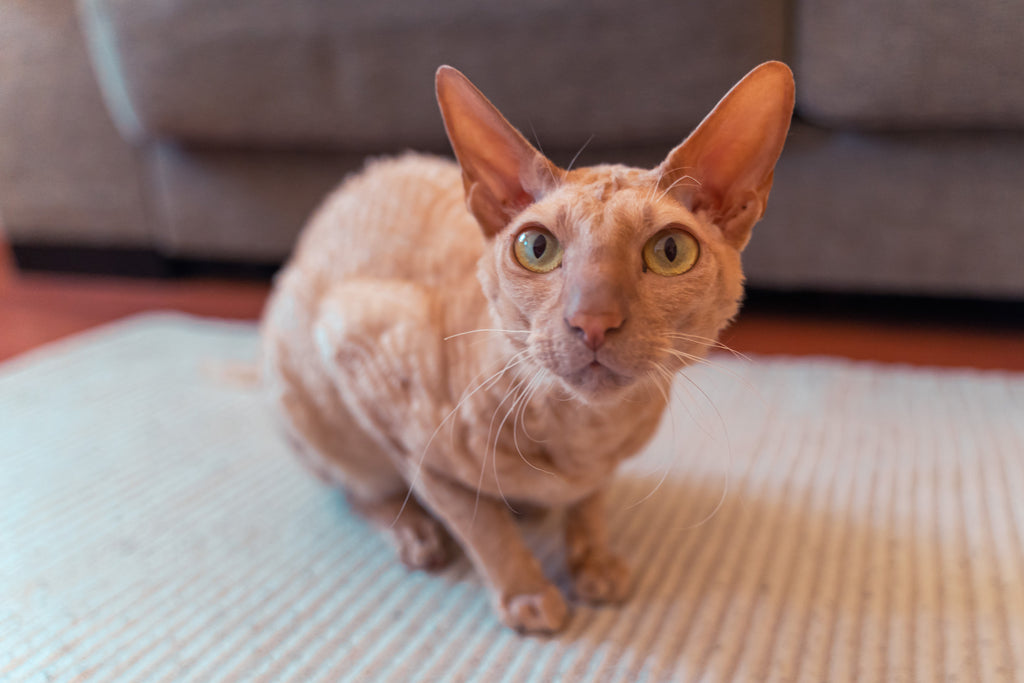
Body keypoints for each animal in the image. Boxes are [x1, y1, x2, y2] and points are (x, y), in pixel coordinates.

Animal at [260, 61, 794, 634]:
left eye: (670, 251)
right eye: (537, 248)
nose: (592, 321)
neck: (585, 431)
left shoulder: (602, 467)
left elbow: (589, 502)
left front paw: (592, 561)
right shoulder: (365, 362)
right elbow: (479, 522)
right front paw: (527, 593)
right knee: (359, 489)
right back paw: (416, 534)